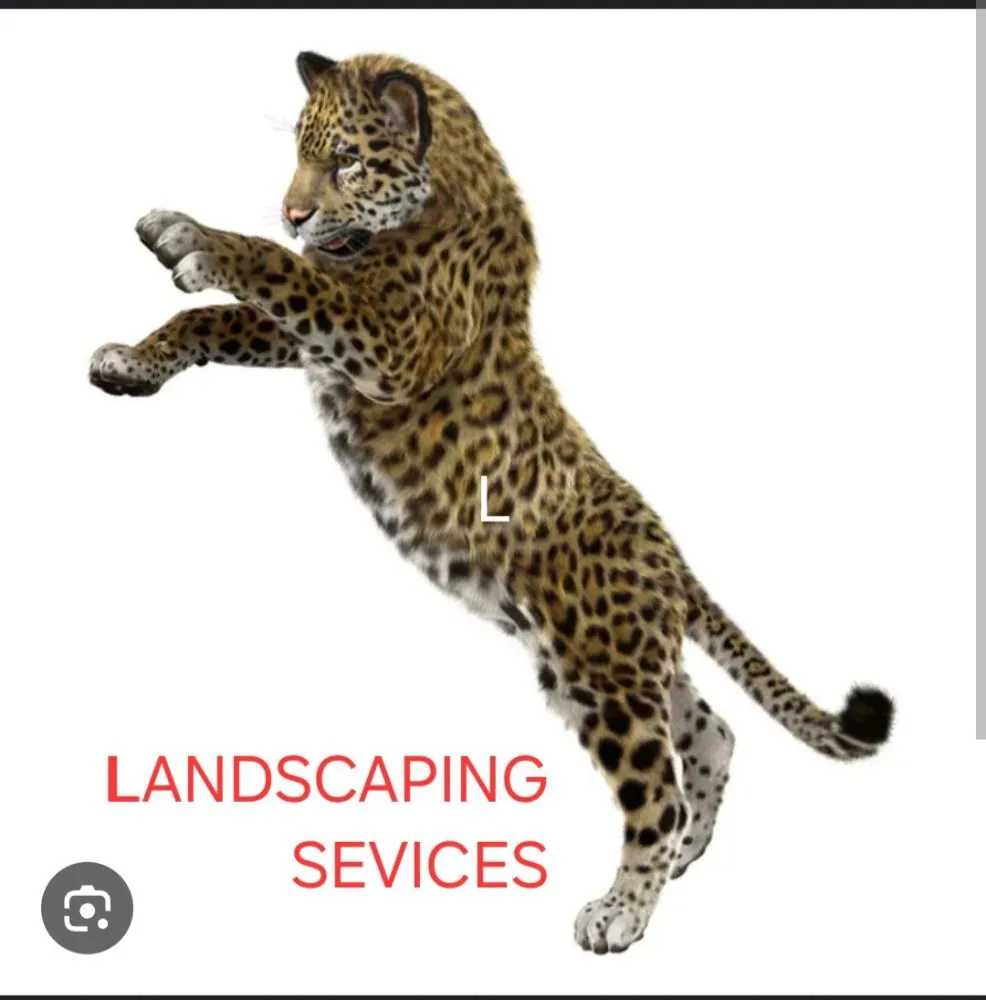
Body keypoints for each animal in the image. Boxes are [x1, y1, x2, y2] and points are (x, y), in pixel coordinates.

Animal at [88, 51, 895, 954]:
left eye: (347, 162)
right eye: (300, 153)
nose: (295, 212)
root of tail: (670, 551)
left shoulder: (388, 343)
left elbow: (280, 273)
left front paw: (193, 236)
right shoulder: (325, 339)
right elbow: (217, 320)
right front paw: (130, 360)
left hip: (599, 666)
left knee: (657, 786)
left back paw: (622, 912)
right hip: (614, 658)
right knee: (710, 733)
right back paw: (684, 859)